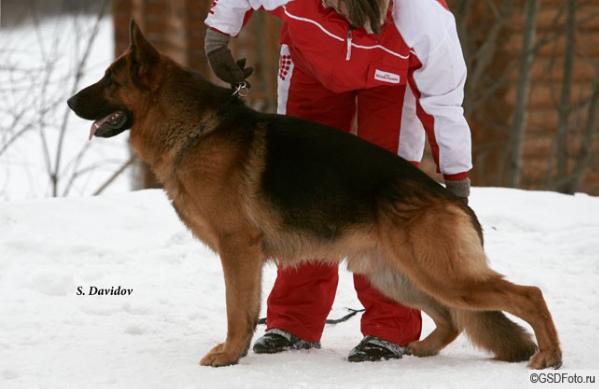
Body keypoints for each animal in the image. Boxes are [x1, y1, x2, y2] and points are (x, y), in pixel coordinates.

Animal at [69, 22, 564, 370]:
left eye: (109, 81)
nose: (71, 102)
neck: (196, 130)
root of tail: (452, 200)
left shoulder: (238, 249)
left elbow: (236, 309)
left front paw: (228, 354)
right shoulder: (247, 257)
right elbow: (248, 308)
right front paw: (241, 350)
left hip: (441, 275)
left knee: (529, 295)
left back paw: (549, 356)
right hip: (397, 275)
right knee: (449, 318)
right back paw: (419, 349)